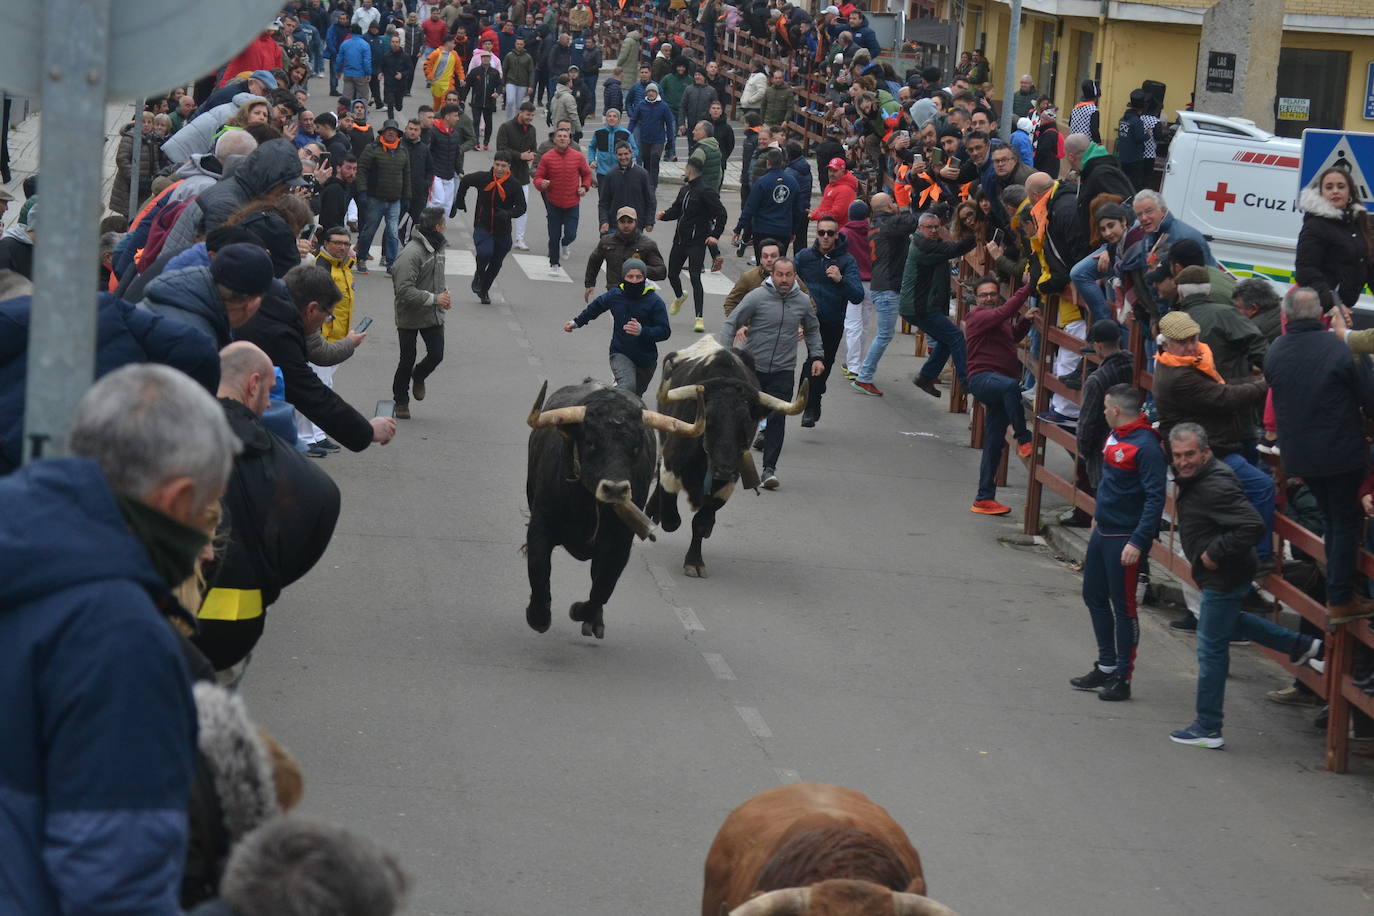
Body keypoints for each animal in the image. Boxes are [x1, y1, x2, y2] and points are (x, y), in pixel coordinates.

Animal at [519, 379, 703, 637]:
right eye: (590, 442)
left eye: (635, 448)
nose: (615, 489)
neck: (587, 504)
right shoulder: (540, 523)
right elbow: (538, 566)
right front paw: (538, 617)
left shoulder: (619, 541)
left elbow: (604, 584)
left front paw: (582, 612)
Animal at [643, 340, 802, 576]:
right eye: (707, 419)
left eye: (746, 422)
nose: (724, 469)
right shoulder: (672, 462)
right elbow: (672, 518)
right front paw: (660, 514)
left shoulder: (727, 484)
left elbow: (700, 523)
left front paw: (694, 561)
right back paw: (653, 511)